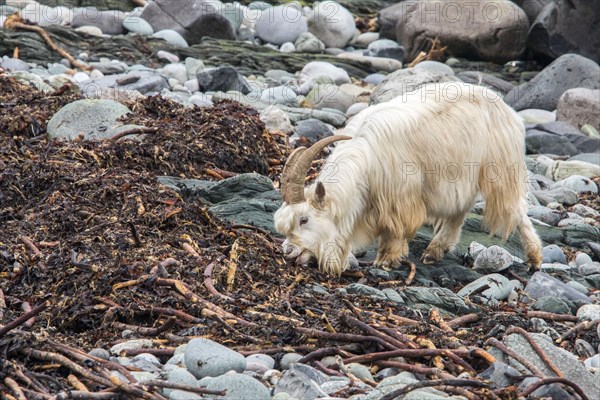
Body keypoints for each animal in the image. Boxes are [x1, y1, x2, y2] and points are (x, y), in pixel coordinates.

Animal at [276, 81, 544, 276]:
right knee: (460, 210)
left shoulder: (399, 197)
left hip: (500, 169)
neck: (365, 156)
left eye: (304, 219)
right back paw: (434, 251)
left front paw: (386, 260)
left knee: (516, 209)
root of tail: (508, 111)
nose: (288, 251)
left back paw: (534, 259)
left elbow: (395, 228)